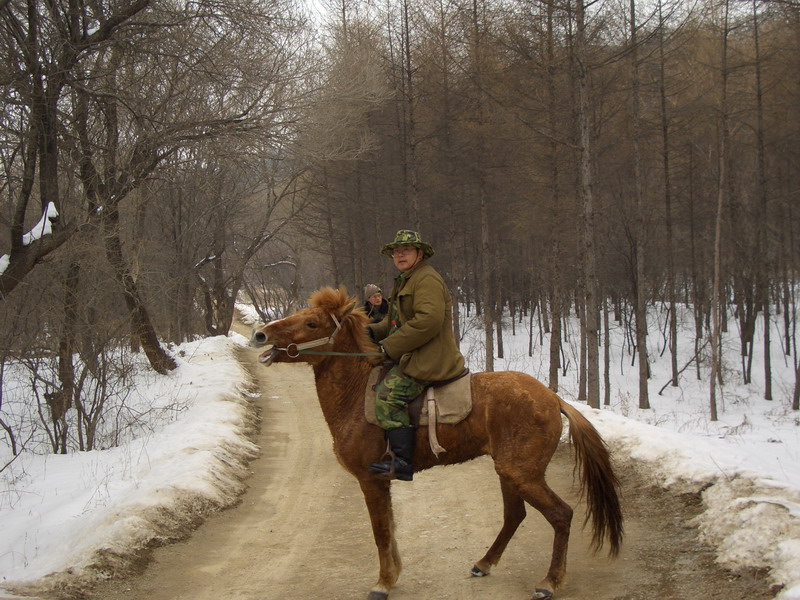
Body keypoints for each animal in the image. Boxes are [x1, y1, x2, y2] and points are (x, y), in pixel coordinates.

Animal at [252, 288, 624, 596]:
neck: (357, 396)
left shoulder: (371, 480)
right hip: (510, 472)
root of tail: (552, 398)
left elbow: (381, 531)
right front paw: (393, 575)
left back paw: (550, 581)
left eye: (312, 322)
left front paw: (383, 583)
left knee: (561, 515)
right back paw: (484, 563)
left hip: (522, 474)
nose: (260, 334)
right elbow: (389, 528)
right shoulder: (381, 483)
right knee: (514, 515)